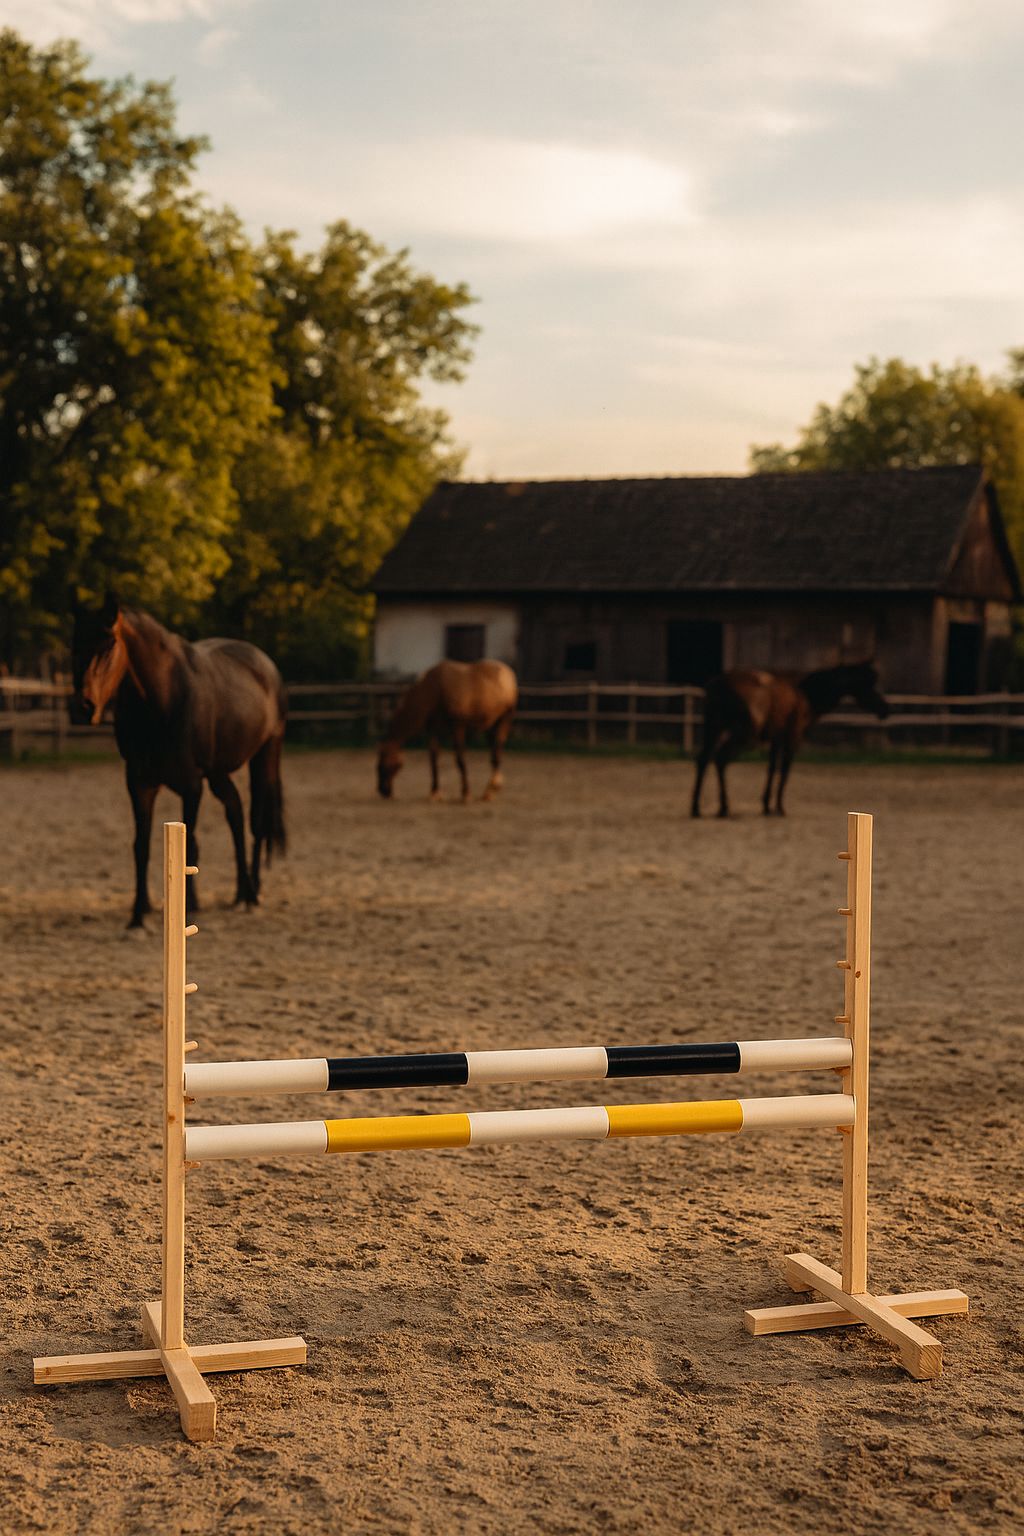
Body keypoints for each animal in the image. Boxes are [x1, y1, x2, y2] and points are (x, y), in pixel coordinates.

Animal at [71, 598, 287, 927]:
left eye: (109, 644)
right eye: (75, 643)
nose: (84, 707)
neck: (161, 701)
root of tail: (266, 665)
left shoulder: (191, 785)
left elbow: (193, 844)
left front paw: (191, 905)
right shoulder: (139, 783)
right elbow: (141, 846)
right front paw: (138, 913)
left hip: (265, 754)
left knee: (257, 821)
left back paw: (252, 894)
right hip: (217, 772)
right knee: (235, 813)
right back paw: (241, 892)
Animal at [376, 659, 518, 802]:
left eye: (383, 764)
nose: (383, 791)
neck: (436, 690)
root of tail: (507, 672)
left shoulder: (458, 727)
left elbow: (460, 759)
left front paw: (466, 793)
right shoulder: (433, 729)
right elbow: (433, 758)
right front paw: (435, 792)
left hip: (504, 719)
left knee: (497, 753)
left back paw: (490, 789)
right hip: (491, 724)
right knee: (494, 752)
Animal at [691, 660, 889, 819]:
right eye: (867, 684)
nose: (885, 709)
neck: (806, 694)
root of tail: (718, 684)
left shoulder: (776, 737)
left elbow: (772, 768)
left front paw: (766, 806)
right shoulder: (793, 735)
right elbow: (785, 769)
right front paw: (779, 807)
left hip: (713, 727)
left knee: (703, 759)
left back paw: (696, 808)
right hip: (745, 734)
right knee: (721, 759)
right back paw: (724, 808)